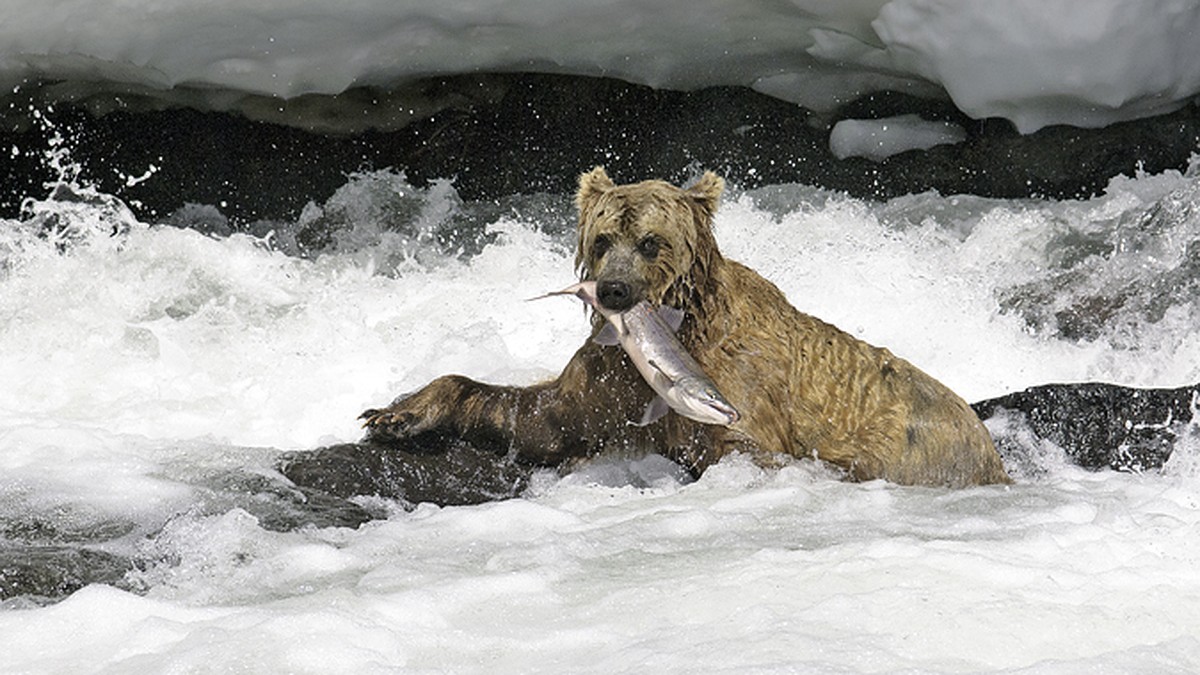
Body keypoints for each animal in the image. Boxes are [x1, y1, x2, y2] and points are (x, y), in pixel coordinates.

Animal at [357, 165, 1012, 485]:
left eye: (651, 241)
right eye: (602, 239)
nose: (614, 291)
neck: (678, 324)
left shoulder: (737, 379)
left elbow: (745, 448)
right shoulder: (611, 374)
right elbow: (545, 418)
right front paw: (395, 412)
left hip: (925, 446)